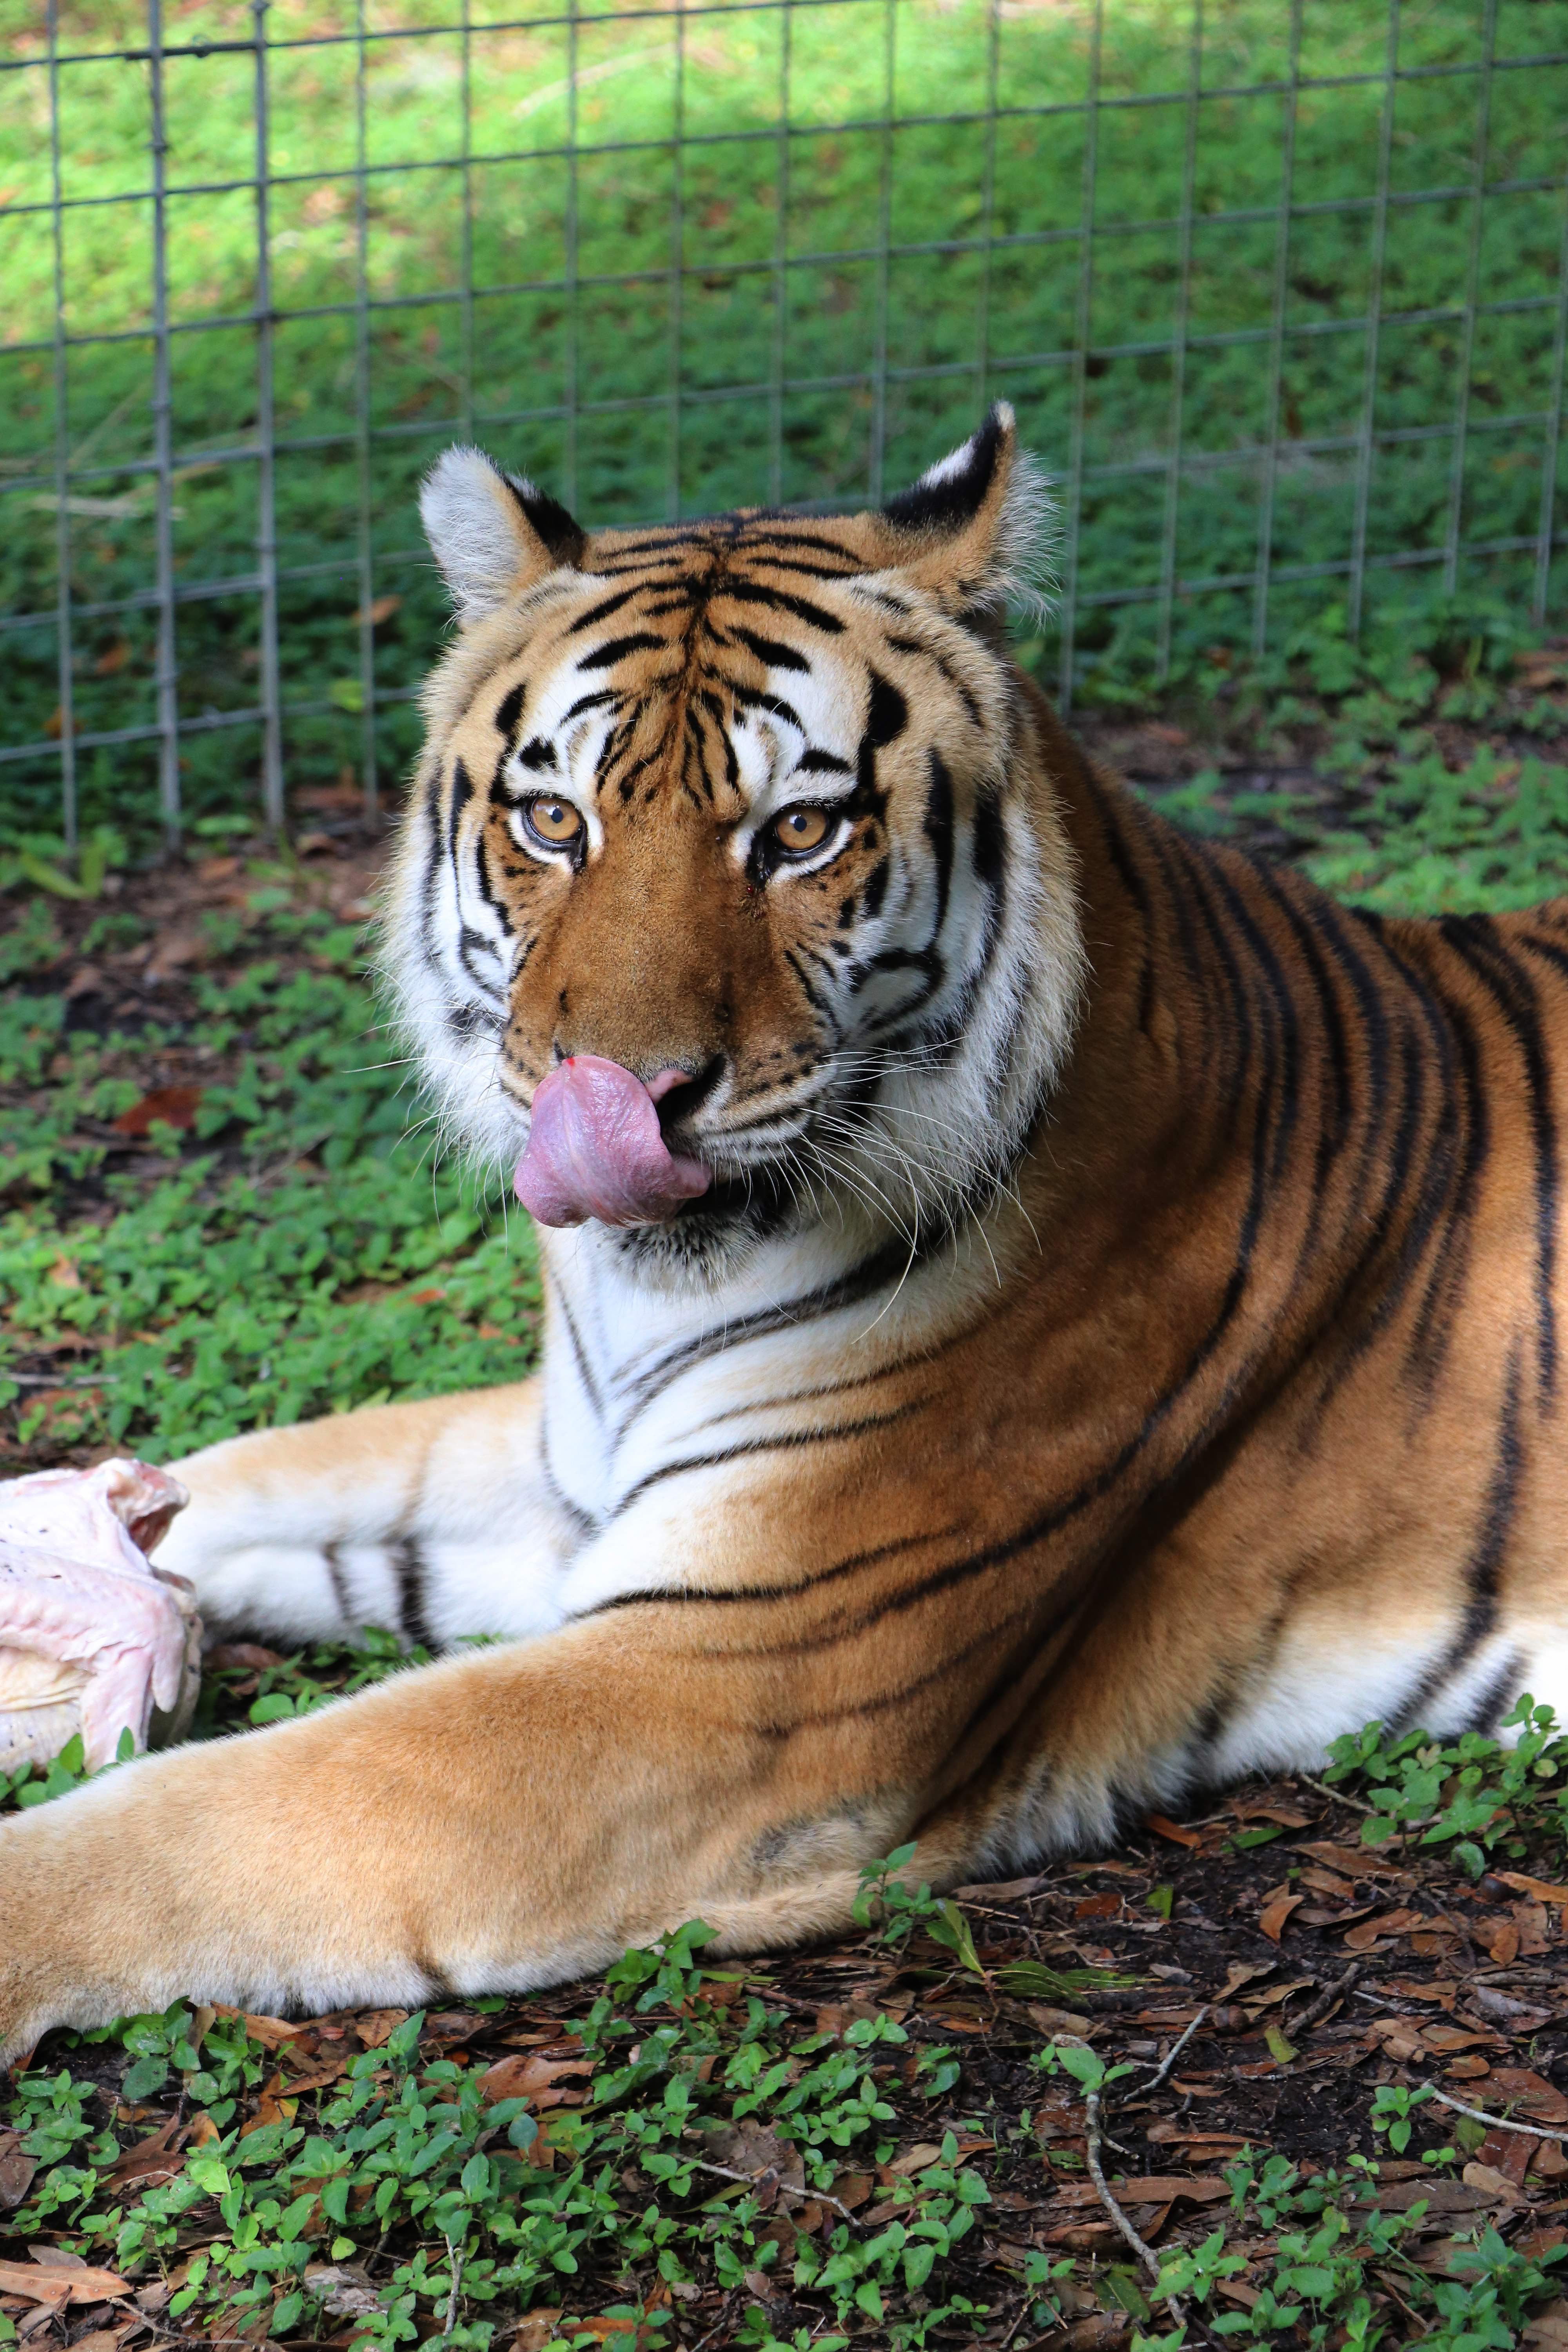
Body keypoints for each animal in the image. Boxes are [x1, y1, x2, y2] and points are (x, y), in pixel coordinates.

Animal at [4, 400, 1567, 2058]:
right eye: (554, 822)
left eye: (801, 832)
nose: (626, 1094)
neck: (649, 1300)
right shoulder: (575, 1476)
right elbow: (293, 1471)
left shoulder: (739, 1663)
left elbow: (221, 1806)